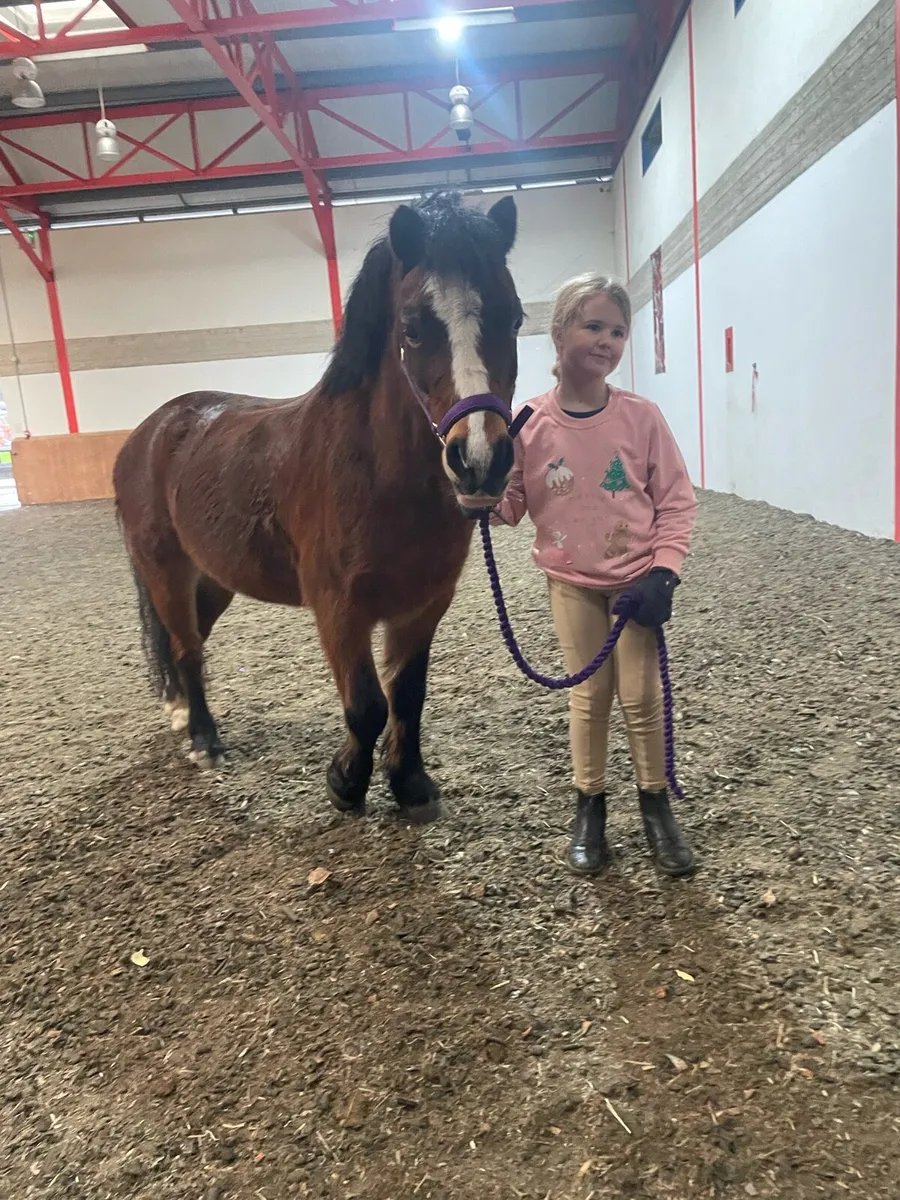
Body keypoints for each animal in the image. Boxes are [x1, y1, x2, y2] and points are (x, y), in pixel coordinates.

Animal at [113, 190, 522, 824]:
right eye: (412, 328)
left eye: (515, 317)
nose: (480, 459)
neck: (377, 473)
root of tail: (152, 431)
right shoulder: (338, 609)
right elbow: (367, 705)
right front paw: (346, 783)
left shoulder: (423, 605)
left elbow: (408, 695)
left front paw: (410, 784)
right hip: (165, 570)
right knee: (185, 646)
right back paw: (203, 739)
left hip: (215, 577)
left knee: (192, 641)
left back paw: (182, 715)